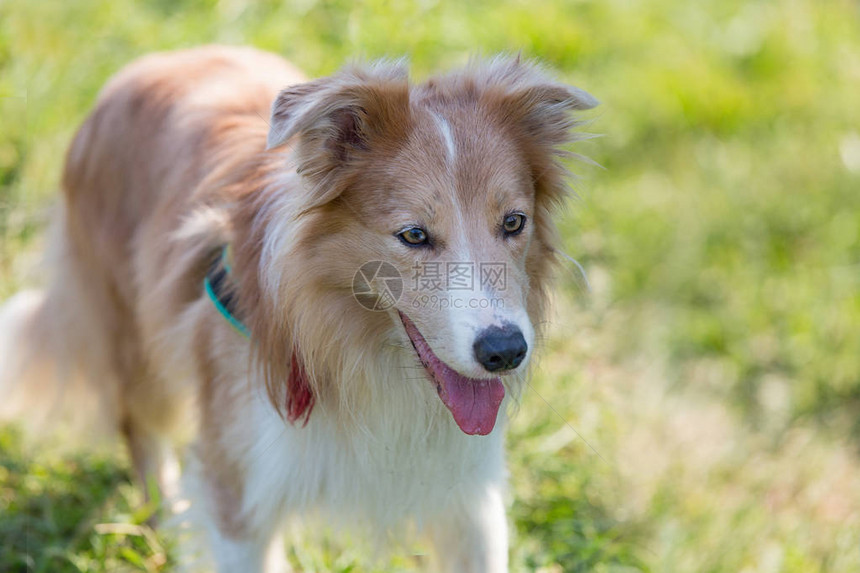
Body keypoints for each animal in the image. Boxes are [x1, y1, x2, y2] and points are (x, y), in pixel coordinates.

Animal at [0, 47, 596, 568]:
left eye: (514, 223)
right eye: (413, 235)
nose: (505, 352)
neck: (357, 352)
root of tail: (146, 66)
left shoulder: (469, 499)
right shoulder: (238, 489)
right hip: (134, 343)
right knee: (139, 430)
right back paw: (166, 523)